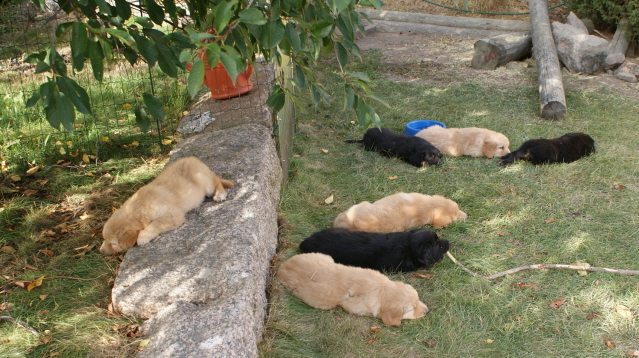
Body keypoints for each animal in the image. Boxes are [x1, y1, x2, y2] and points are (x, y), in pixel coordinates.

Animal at [97, 157, 232, 255]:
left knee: (217, 181)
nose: (101, 250)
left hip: (205, 182)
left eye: (113, 244)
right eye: (104, 239)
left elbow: (155, 224)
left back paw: (220, 194)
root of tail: (194, 159)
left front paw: (143, 236)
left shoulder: (173, 215)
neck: (135, 210)